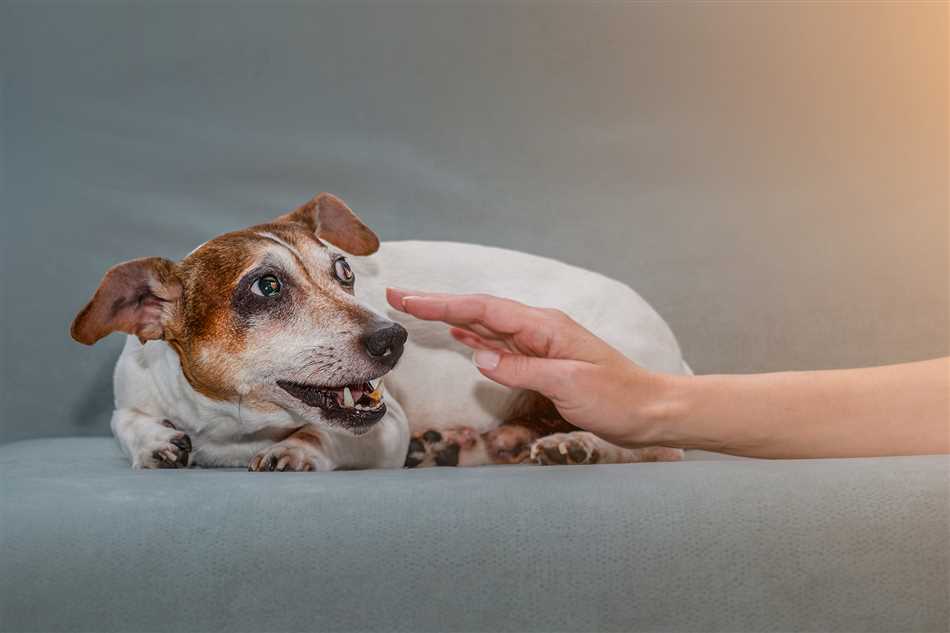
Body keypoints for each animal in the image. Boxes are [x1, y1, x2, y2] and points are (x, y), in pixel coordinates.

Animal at [70, 193, 688, 470]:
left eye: (344, 270)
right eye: (265, 287)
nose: (395, 337)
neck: (234, 427)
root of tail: (677, 354)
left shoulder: (384, 426)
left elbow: (321, 436)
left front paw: (296, 449)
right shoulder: (130, 392)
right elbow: (124, 420)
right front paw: (154, 441)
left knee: (658, 445)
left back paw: (576, 444)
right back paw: (467, 443)